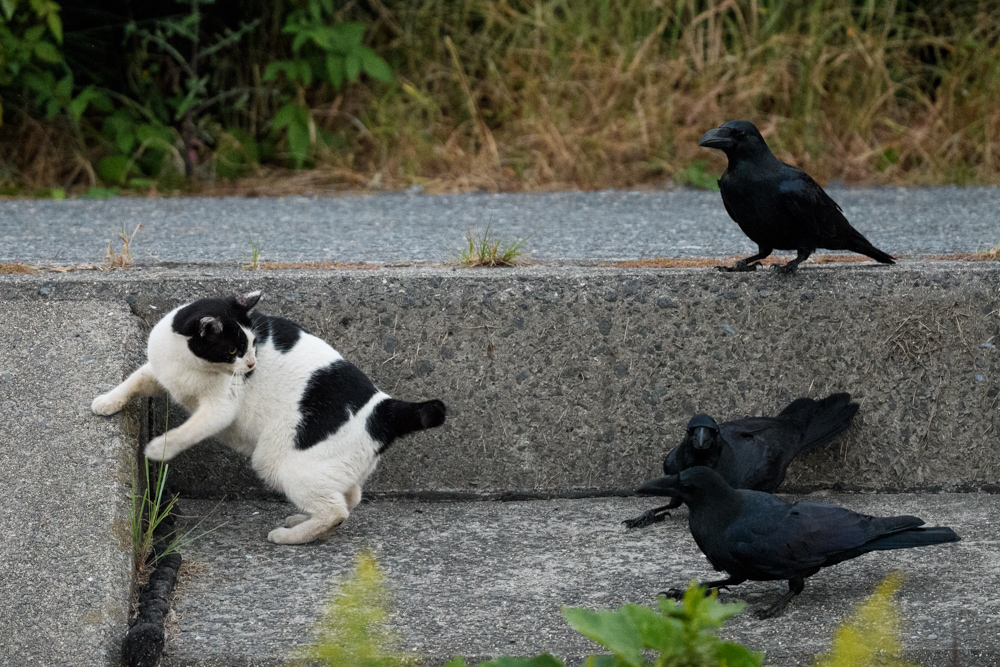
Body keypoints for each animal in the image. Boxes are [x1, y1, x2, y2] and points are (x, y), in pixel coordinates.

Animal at [93, 292, 446, 544]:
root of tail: (385, 408)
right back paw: (303, 521)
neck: (191, 367)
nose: (252, 364)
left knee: (335, 510)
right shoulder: (159, 371)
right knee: (349, 498)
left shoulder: (218, 410)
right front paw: (107, 402)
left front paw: (158, 449)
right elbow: (133, 382)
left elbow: (187, 431)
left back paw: (290, 536)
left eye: (252, 345)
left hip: (280, 463)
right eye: (235, 350)